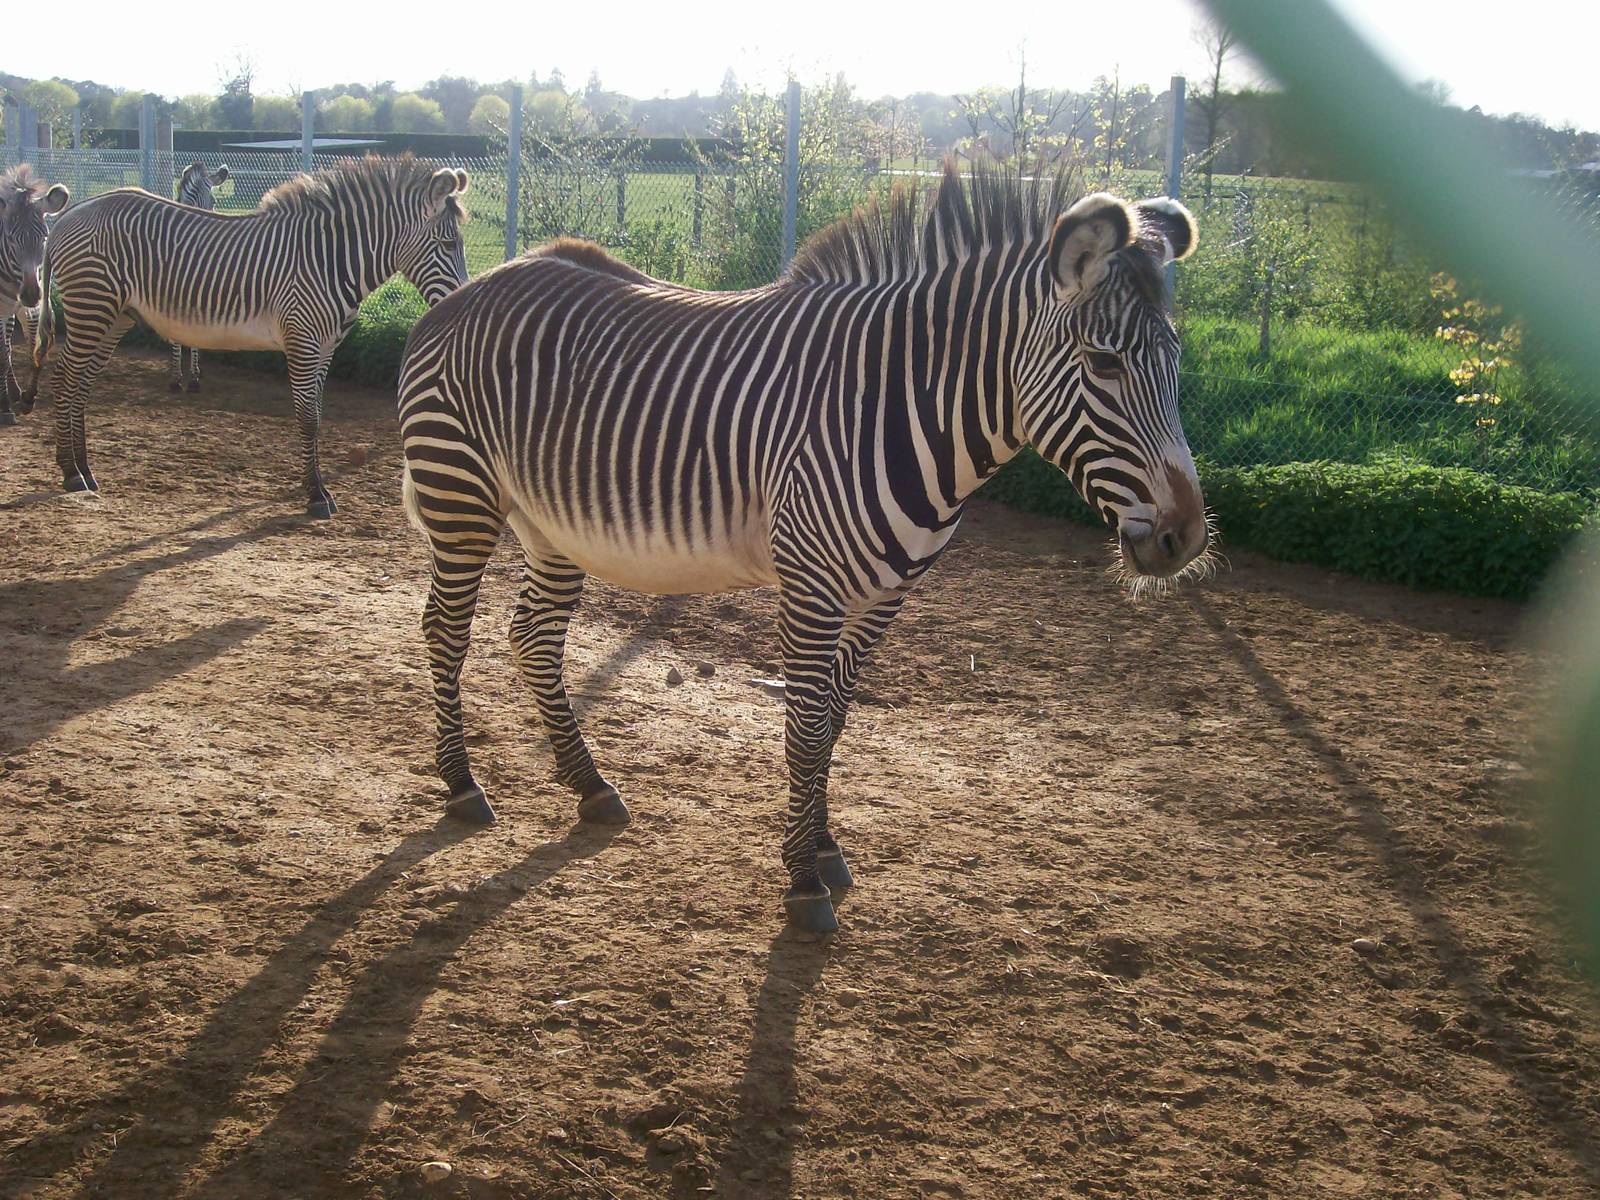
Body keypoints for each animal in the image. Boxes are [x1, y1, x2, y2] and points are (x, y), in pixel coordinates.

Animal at [0, 167, 69, 427]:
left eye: (44, 237)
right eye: (10, 239)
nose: (30, 294)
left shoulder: (34, 305)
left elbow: (36, 346)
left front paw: (28, 397)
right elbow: (2, 355)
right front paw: (5, 408)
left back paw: (14, 391)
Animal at [396, 161, 1210, 933]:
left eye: (1177, 362)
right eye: (1104, 364)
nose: (1185, 540)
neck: (902, 407)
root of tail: (469, 289)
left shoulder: (885, 595)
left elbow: (837, 720)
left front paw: (823, 848)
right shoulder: (812, 585)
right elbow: (808, 727)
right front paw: (803, 881)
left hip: (552, 525)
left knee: (532, 636)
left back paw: (590, 786)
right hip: (459, 494)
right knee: (445, 630)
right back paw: (462, 785)